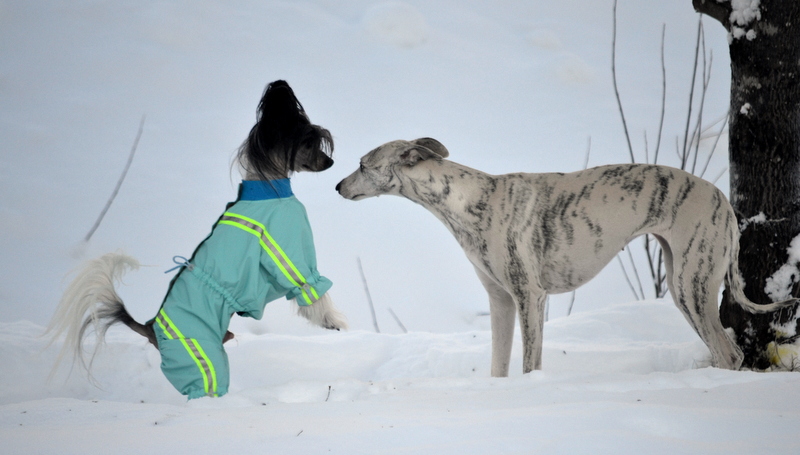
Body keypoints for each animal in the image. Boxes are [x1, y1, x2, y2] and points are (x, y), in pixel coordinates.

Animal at [47, 80, 347, 399]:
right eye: (308, 143)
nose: (330, 162)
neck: (267, 190)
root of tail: (149, 327)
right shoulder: (291, 257)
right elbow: (311, 290)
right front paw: (332, 322)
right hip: (201, 355)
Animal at [336, 137, 797, 376]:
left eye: (362, 163)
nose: (338, 186)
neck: (471, 200)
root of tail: (724, 201)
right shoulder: (501, 301)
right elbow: (498, 366)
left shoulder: (530, 297)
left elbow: (530, 363)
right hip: (683, 277)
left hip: (691, 284)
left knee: (730, 354)